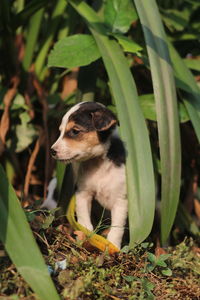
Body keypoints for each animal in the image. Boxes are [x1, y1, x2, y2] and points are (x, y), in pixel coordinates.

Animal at [50, 101, 127, 248]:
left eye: (75, 131)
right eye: (60, 131)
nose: (52, 151)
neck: (99, 164)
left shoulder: (120, 201)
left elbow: (117, 229)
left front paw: (113, 246)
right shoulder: (83, 193)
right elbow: (84, 221)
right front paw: (84, 238)